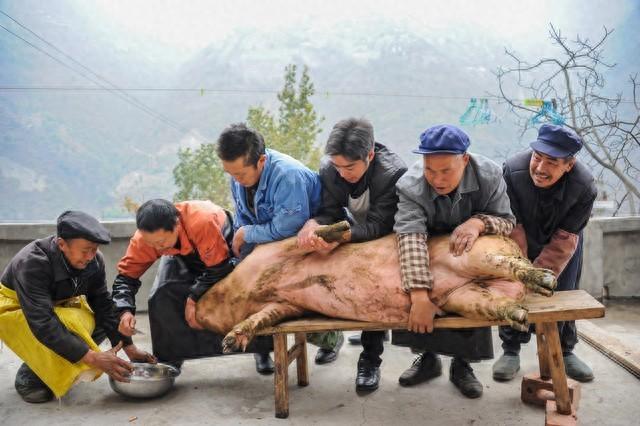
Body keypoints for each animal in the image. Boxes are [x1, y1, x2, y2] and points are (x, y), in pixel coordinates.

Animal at [194, 220, 556, 352]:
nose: (194, 313)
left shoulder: (279, 249)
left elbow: (312, 237)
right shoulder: (285, 305)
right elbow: (259, 318)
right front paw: (230, 343)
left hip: (474, 253)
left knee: (512, 265)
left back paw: (547, 280)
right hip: (464, 296)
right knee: (499, 303)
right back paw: (521, 315)